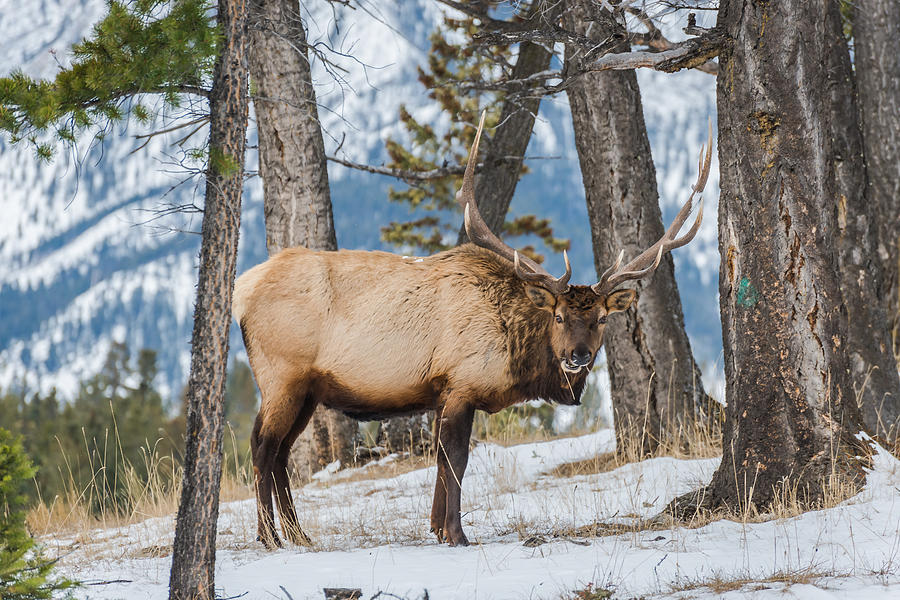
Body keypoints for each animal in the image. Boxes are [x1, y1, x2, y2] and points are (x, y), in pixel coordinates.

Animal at [236, 112, 712, 548]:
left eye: (600, 319)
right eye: (559, 317)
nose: (578, 356)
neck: (516, 359)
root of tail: (242, 290)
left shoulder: (442, 393)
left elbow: (440, 461)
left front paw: (435, 528)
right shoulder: (461, 384)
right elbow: (456, 460)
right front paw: (457, 533)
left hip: (308, 390)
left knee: (280, 454)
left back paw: (298, 535)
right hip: (282, 376)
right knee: (262, 446)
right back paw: (269, 536)